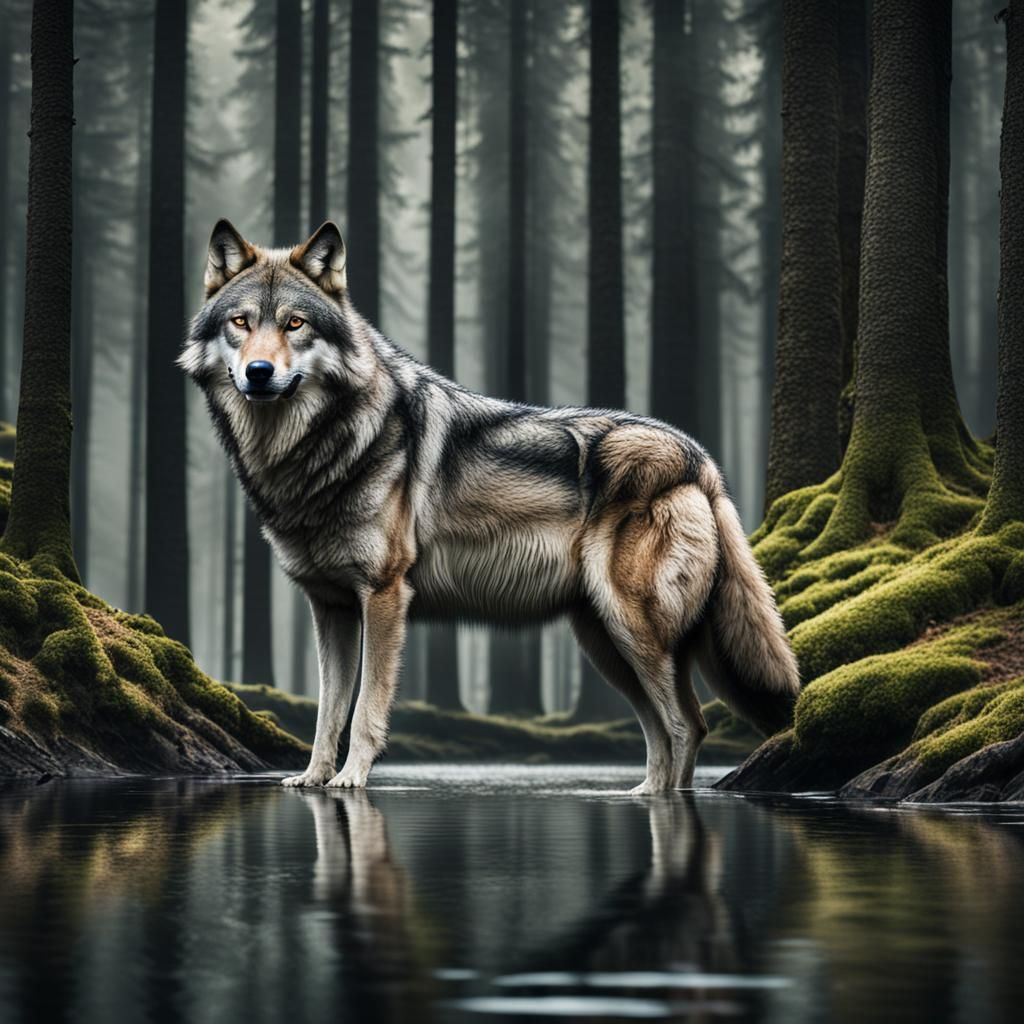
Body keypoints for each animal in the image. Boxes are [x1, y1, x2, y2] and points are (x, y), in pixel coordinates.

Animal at [179, 219, 800, 794]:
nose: (260, 372)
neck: (313, 451)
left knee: (687, 724)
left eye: (295, 324)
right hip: (604, 644)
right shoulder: (329, 606)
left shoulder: (383, 595)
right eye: (241, 323)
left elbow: (364, 711)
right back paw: (642, 793)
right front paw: (313, 776)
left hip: (632, 630)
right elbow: (327, 710)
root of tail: (699, 459)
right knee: (662, 730)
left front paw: (351, 780)